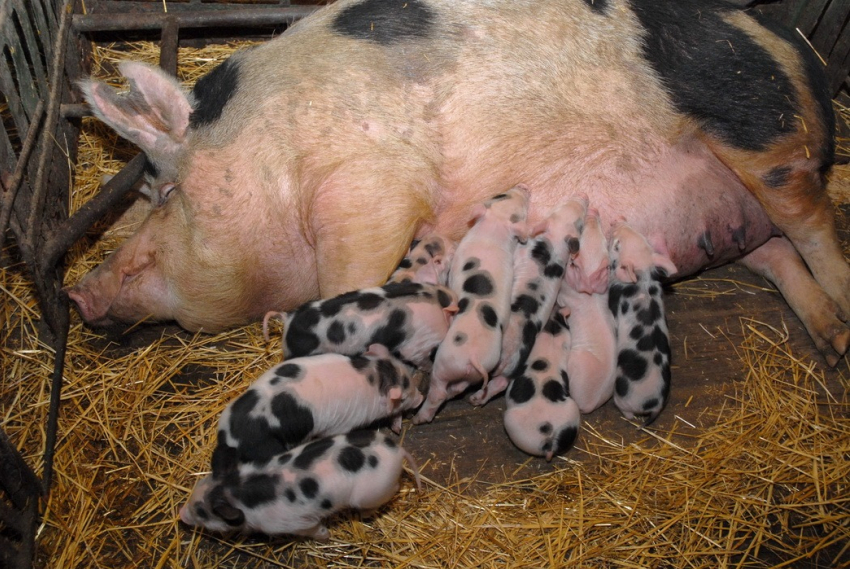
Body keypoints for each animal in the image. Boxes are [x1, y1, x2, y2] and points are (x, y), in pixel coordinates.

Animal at [69, 0, 848, 364]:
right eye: (144, 195)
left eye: (167, 194)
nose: (79, 294)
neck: (275, 150)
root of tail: (807, 59)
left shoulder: (370, 187)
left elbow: (343, 277)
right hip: (724, 205)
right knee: (774, 252)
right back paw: (832, 338)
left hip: (763, 133)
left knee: (813, 228)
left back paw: (842, 319)